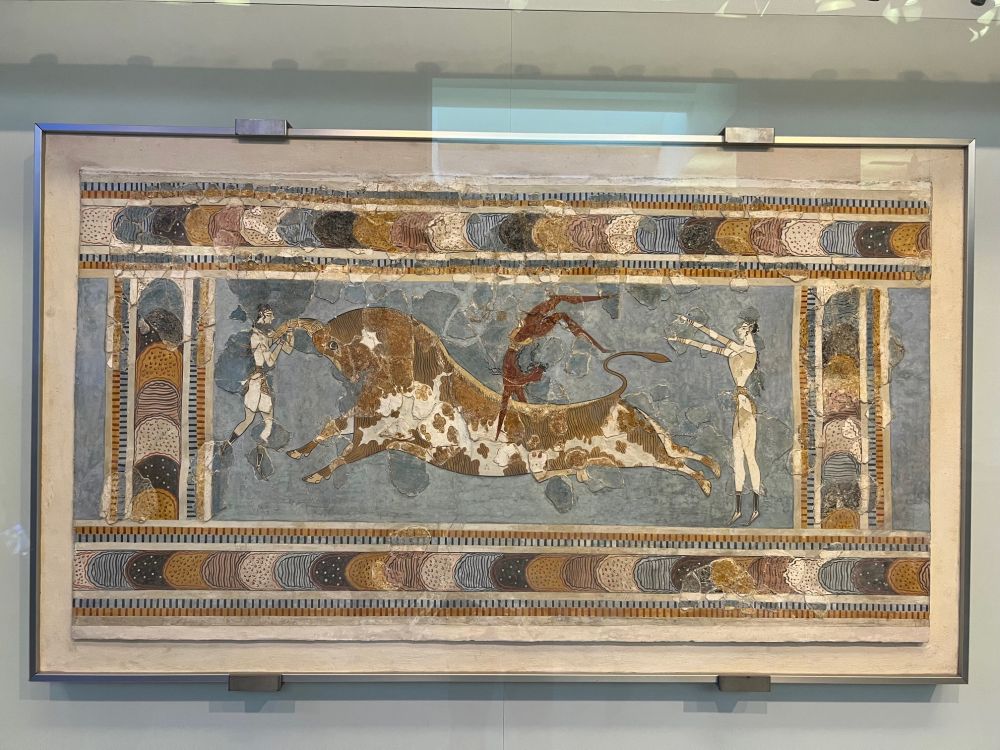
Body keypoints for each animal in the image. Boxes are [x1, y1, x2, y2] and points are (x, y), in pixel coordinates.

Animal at [272, 307, 720, 494]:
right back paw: (713, 469)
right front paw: (296, 454)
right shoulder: (367, 424)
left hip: (636, 453)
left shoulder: (375, 437)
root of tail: (621, 401)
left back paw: (706, 484)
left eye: (333, 343)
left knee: (675, 462)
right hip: (635, 450)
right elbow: (329, 430)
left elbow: (344, 454)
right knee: (678, 450)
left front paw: (314, 475)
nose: (346, 373)